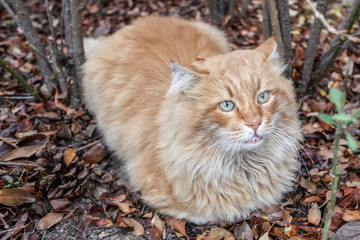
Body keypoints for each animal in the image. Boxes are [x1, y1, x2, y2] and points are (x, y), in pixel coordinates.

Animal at [83, 16, 300, 223]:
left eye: (263, 97)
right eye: (227, 105)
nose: (255, 123)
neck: (245, 167)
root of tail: (137, 23)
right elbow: (207, 212)